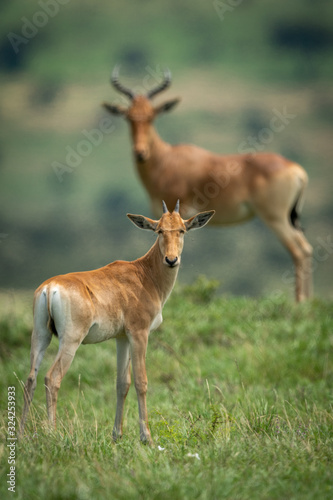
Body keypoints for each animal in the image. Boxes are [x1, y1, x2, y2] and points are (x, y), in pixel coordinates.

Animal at [20, 201, 213, 444]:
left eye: (182, 230)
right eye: (159, 230)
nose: (171, 260)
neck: (143, 274)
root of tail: (50, 287)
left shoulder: (121, 338)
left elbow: (122, 384)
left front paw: (116, 435)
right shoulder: (139, 333)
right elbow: (141, 381)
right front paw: (146, 438)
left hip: (40, 335)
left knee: (30, 379)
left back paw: (21, 434)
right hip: (71, 340)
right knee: (52, 377)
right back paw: (52, 433)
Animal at [103, 66, 312, 300]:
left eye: (152, 116)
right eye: (129, 117)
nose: (140, 153)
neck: (167, 159)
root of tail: (296, 169)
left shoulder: (182, 209)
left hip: (275, 217)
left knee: (299, 251)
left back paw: (300, 302)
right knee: (307, 249)